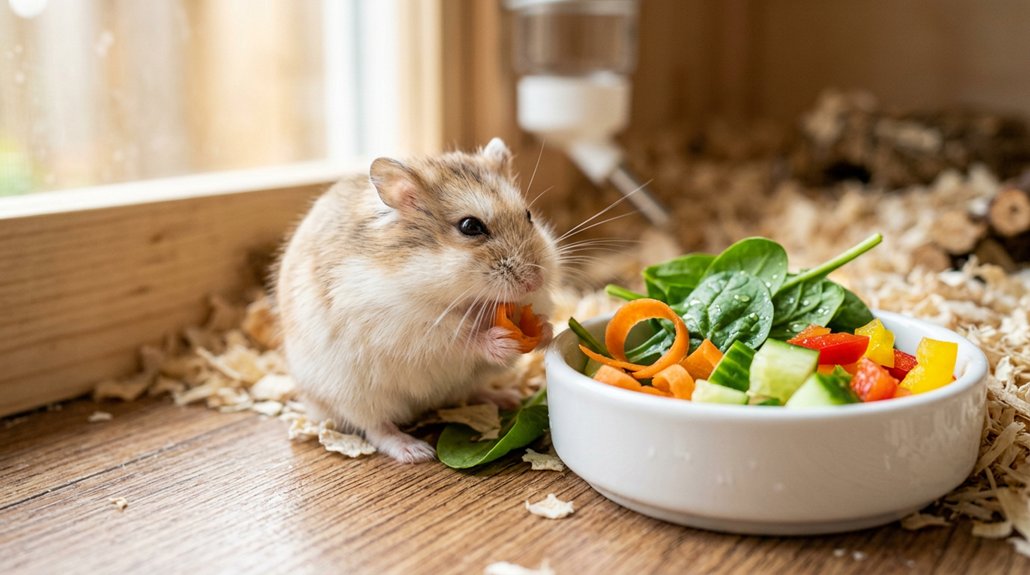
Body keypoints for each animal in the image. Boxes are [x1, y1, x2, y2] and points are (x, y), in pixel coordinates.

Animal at [275, 138, 560, 463]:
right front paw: (500, 339)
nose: (535, 281)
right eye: (470, 226)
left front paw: (545, 329)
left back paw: (506, 397)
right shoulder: (408, 329)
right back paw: (415, 451)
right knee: (375, 427)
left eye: (529, 215)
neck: (465, 300)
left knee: (468, 392)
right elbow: (459, 340)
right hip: (354, 394)